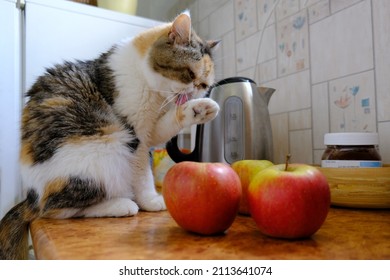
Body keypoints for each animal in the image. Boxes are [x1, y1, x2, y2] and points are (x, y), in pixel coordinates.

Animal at [0, 11, 219, 260]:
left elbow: (168, 122)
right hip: (107, 148)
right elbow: (143, 174)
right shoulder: (136, 135)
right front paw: (151, 200)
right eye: (189, 74)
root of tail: (31, 198)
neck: (150, 88)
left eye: (204, 84)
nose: (194, 93)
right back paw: (121, 205)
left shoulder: (150, 131)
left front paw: (199, 109)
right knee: (55, 210)